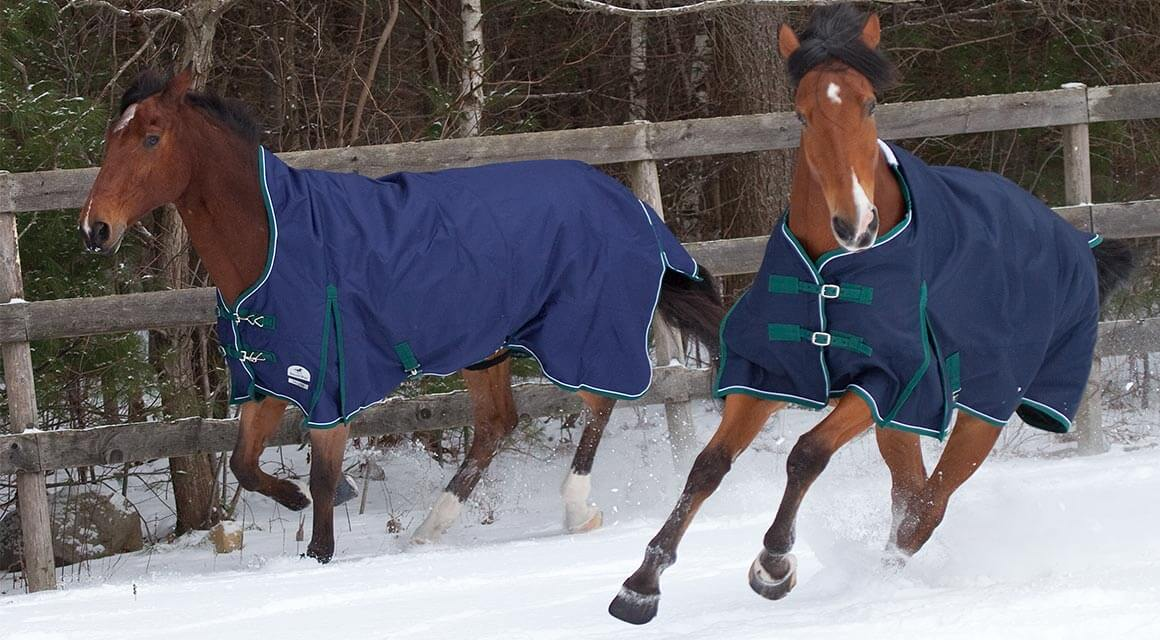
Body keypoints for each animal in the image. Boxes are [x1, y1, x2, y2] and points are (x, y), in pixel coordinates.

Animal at [78, 70, 723, 562]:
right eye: (111, 138)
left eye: (152, 138)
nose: (95, 229)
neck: (274, 241)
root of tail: (628, 203)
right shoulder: (267, 378)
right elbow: (242, 465)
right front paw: (296, 500)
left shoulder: (330, 382)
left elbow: (319, 477)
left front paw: (319, 542)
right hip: (486, 347)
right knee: (497, 426)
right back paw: (429, 530)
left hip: (582, 334)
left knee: (597, 404)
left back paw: (577, 507)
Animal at [609, 6, 1133, 625]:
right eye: (802, 112)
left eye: (870, 104)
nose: (855, 223)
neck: (838, 266)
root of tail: (1078, 243)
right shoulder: (770, 374)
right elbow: (709, 464)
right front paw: (641, 586)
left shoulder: (890, 381)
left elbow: (807, 453)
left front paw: (774, 565)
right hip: (903, 424)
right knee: (910, 498)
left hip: (982, 412)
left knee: (928, 507)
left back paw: (874, 588)